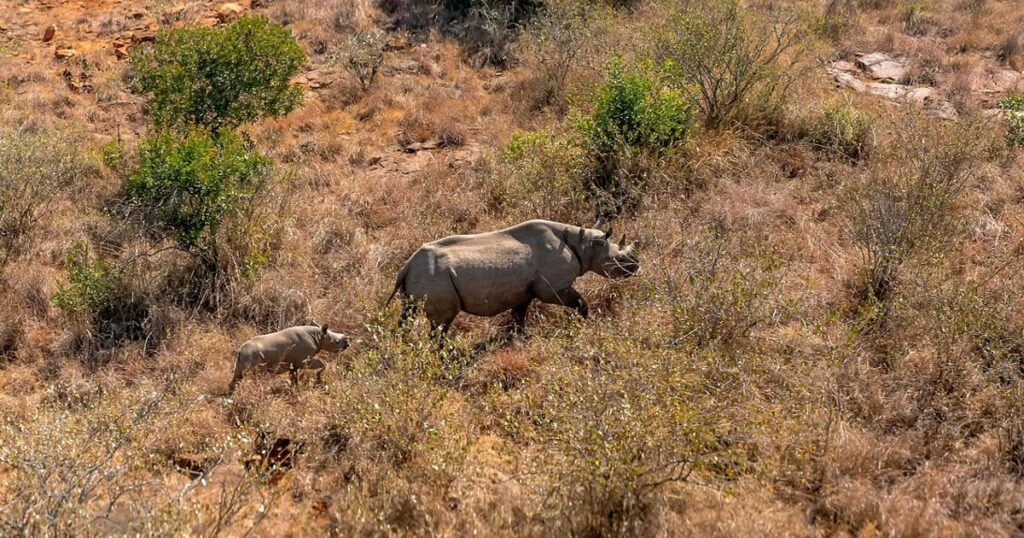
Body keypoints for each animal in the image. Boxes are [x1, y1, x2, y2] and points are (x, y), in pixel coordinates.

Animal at [387, 219, 640, 334]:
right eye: (618, 260)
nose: (636, 266)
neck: (584, 245)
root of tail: (407, 266)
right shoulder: (554, 288)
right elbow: (580, 302)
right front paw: (586, 322)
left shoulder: (524, 291)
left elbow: (519, 314)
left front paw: (521, 337)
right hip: (436, 278)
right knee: (441, 325)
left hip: (421, 277)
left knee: (408, 314)